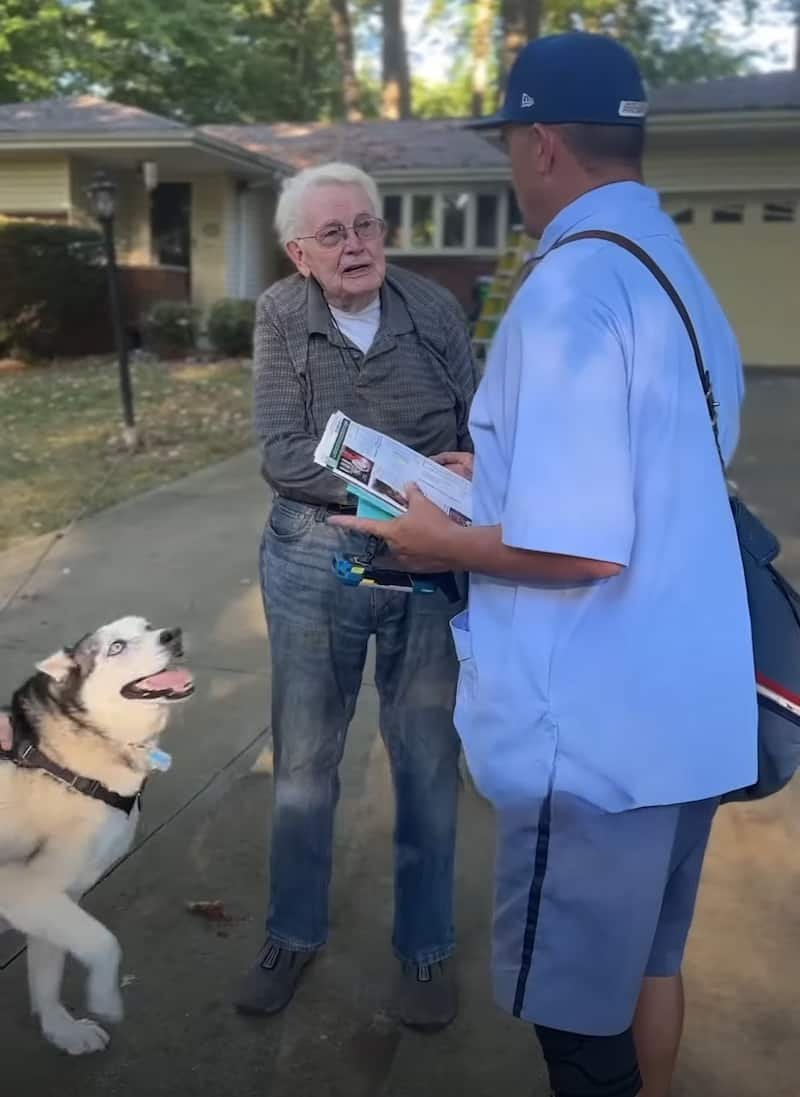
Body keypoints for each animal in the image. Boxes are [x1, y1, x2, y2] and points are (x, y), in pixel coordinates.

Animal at [0, 618, 193, 1053]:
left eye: (148, 626)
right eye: (116, 647)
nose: (172, 634)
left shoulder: (55, 897)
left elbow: (47, 973)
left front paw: (60, 1028)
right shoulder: (20, 889)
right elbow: (105, 943)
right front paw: (105, 997)